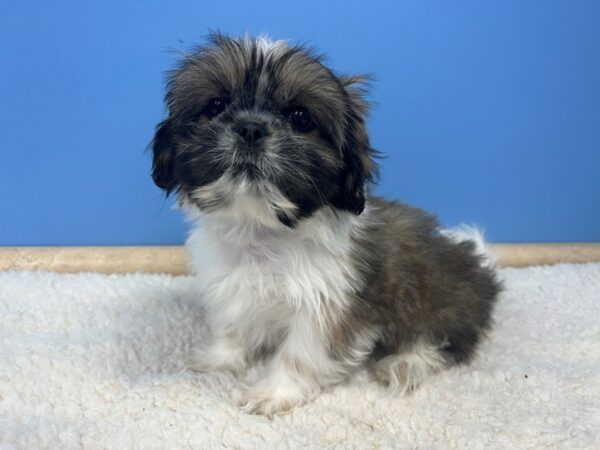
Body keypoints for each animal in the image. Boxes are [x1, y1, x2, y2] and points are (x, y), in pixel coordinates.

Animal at [151, 33, 502, 416]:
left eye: (300, 118)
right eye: (215, 105)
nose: (251, 127)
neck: (262, 230)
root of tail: (479, 263)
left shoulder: (328, 305)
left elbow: (300, 353)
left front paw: (273, 392)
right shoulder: (231, 285)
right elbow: (234, 328)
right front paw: (220, 359)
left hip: (445, 301)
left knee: (442, 341)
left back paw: (406, 363)